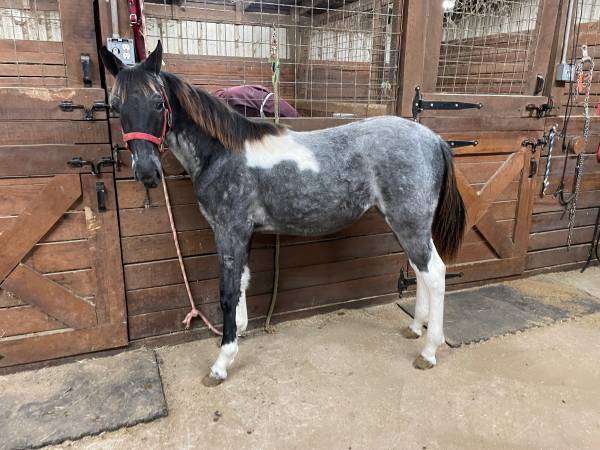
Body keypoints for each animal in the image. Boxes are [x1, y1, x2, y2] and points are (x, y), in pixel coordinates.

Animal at [102, 44, 468, 384]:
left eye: (158, 103)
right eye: (116, 106)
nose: (147, 172)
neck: (222, 152)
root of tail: (434, 139)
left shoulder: (229, 230)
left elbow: (227, 292)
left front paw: (221, 363)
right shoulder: (242, 233)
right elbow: (243, 282)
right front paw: (240, 331)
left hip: (410, 222)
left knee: (435, 272)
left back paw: (429, 351)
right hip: (404, 223)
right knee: (420, 271)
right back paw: (415, 328)